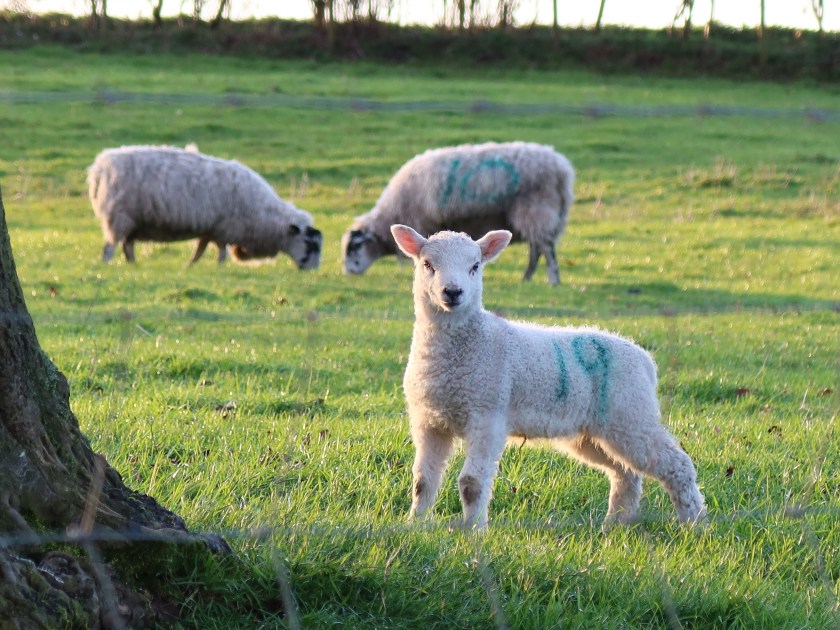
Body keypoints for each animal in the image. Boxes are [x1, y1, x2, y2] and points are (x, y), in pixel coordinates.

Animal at [88, 145, 322, 268]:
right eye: (309, 243)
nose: (312, 270)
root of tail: (99, 168)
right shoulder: (225, 229)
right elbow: (221, 252)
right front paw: (220, 268)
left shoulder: (211, 229)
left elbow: (200, 250)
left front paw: (190, 266)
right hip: (118, 217)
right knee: (110, 247)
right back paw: (108, 265)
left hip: (131, 222)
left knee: (127, 246)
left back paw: (133, 266)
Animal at [342, 142, 574, 285]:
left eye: (355, 246)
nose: (348, 273)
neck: (392, 212)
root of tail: (562, 170)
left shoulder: (422, 221)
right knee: (537, 248)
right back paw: (527, 278)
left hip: (536, 209)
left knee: (546, 248)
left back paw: (553, 280)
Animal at [391, 224, 706, 530]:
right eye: (427, 264)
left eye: (475, 266)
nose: (453, 292)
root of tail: (645, 360)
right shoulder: (428, 420)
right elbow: (422, 480)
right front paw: (415, 525)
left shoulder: (488, 415)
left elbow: (471, 484)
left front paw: (473, 531)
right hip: (596, 431)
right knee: (624, 473)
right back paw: (614, 525)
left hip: (630, 415)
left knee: (676, 465)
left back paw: (695, 524)